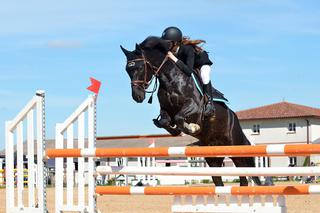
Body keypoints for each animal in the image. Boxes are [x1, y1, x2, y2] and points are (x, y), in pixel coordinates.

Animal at [121, 36, 262, 186]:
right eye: (127, 70)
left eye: (141, 67)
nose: (137, 96)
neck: (170, 79)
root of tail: (234, 118)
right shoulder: (165, 110)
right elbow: (165, 121)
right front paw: (176, 130)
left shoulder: (194, 106)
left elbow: (179, 117)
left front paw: (192, 128)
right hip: (213, 157)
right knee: (221, 180)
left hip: (236, 147)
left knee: (244, 175)